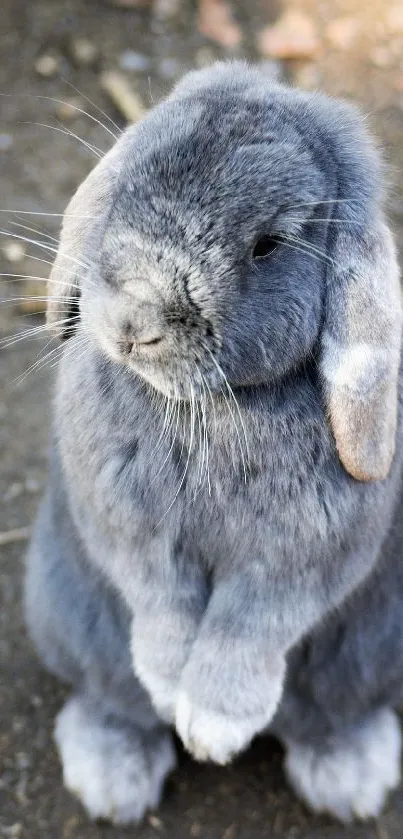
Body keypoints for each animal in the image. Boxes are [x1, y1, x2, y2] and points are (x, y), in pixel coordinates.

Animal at [24, 62, 403, 824]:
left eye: (267, 245)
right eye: (126, 184)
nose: (134, 322)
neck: (211, 408)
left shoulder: (297, 562)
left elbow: (247, 626)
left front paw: (215, 728)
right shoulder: (130, 533)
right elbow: (162, 605)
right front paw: (173, 690)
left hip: (371, 654)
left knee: (331, 715)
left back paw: (350, 778)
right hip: (69, 616)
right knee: (112, 699)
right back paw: (112, 779)